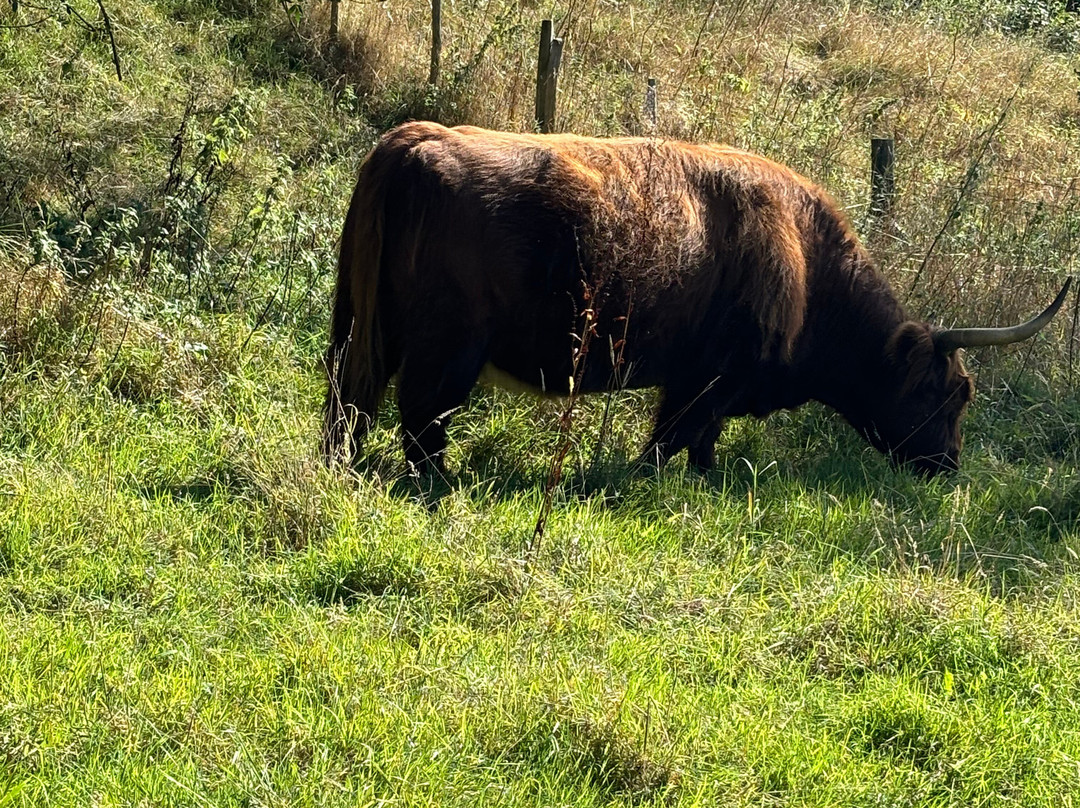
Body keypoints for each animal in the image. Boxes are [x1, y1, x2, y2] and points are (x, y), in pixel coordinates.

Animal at [321, 122, 1071, 477]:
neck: (807, 261)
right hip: (446, 350)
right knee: (421, 421)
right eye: (947, 393)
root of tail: (418, 139)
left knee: (349, 406)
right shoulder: (707, 381)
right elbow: (672, 441)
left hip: (360, 328)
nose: (948, 465)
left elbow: (695, 447)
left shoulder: (699, 384)